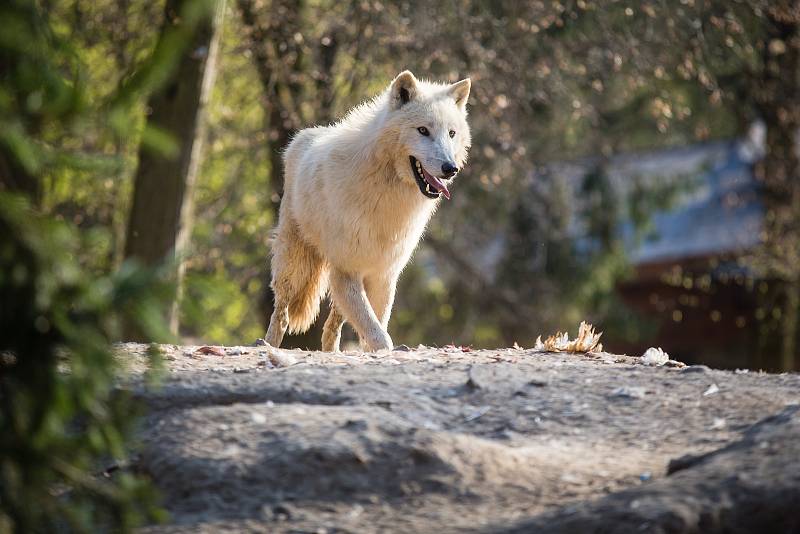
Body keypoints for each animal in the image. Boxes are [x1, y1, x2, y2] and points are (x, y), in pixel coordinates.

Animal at [266, 71, 472, 354]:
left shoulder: (383, 274)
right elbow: (377, 333)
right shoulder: (346, 270)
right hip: (295, 265)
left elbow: (376, 324)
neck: (386, 192)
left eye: (451, 133)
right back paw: (266, 345)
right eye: (423, 130)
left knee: (331, 326)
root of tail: (303, 135)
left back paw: (331, 352)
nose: (450, 168)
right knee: (282, 313)